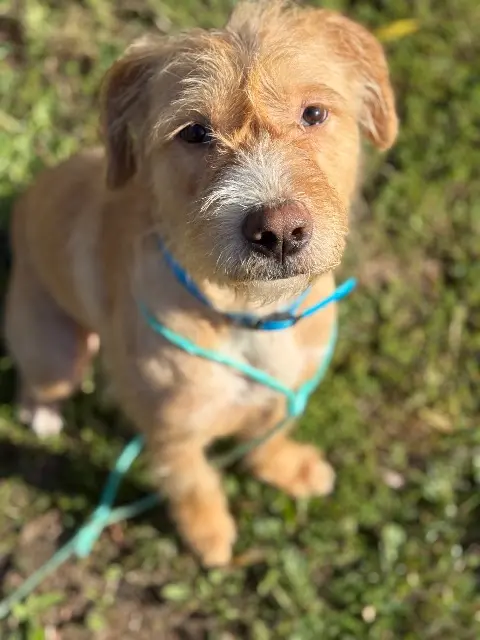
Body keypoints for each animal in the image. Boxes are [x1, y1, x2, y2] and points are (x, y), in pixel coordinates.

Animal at [5, 0, 397, 566]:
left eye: (314, 114)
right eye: (193, 132)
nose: (278, 232)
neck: (247, 316)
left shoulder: (288, 389)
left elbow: (269, 436)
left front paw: (287, 468)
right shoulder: (172, 430)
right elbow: (190, 480)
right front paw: (208, 533)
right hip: (55, 350)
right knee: (40, 379)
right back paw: (41, 411)